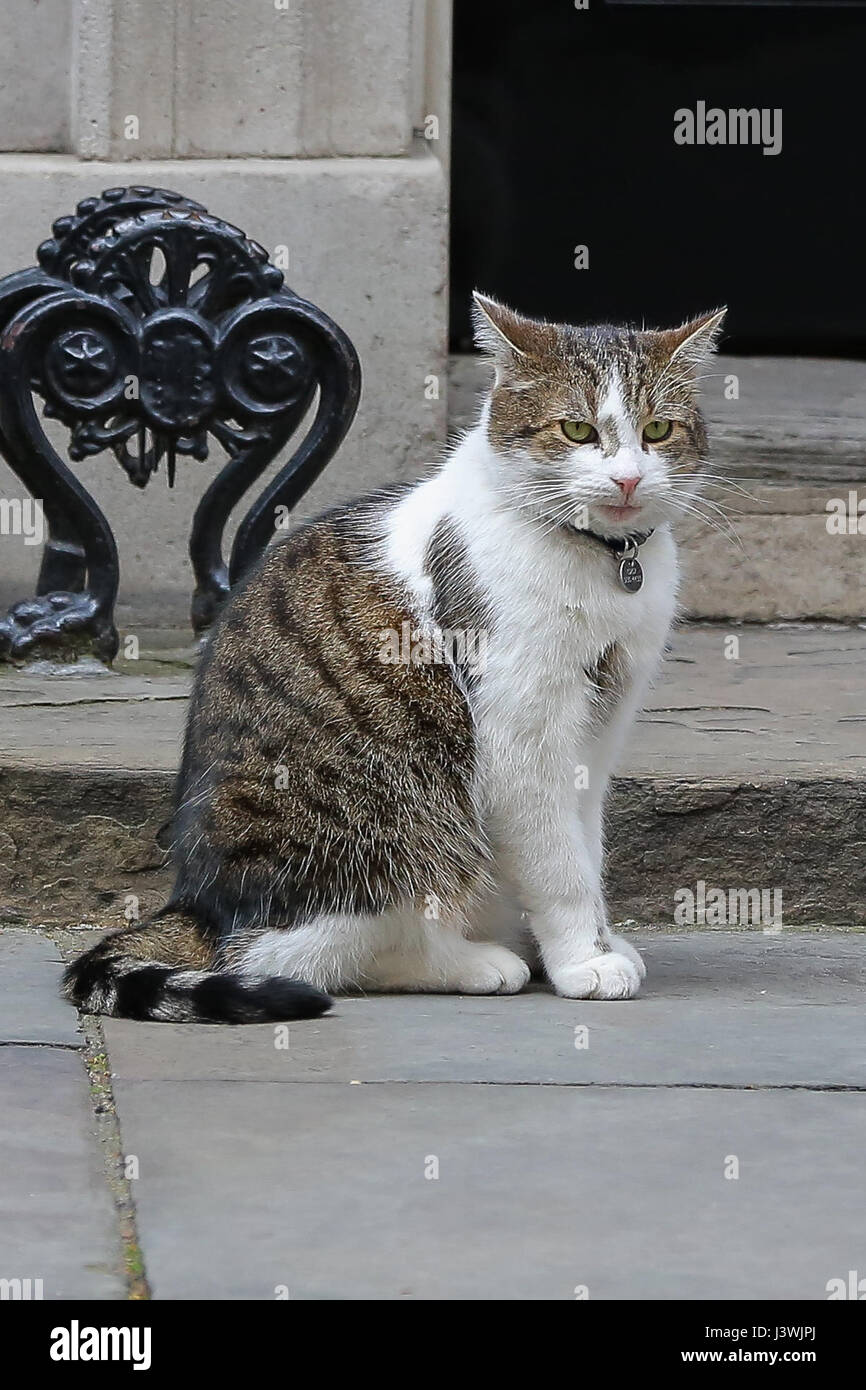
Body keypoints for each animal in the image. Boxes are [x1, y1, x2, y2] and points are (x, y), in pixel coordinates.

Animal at [64, 293, 722, 1023]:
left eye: (658, 429)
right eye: (576, 430)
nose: (628, 479)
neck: (604, 564)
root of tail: (196, 905)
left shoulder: (601, 727)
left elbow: (587, 844)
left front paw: (601, 940)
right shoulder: (521, 733)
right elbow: (559, 865)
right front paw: (583, 960)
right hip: (398, 816)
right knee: (303, 953)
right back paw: (474, 962)